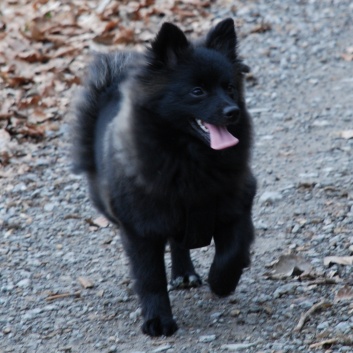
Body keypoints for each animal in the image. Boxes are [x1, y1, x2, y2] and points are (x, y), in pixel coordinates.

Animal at [73, 18, 256, 336]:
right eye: (197, 91)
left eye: (230, 87)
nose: (232, 111)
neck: (191, 160)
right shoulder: (141, 228)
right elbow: (150, 278)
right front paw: (158, 320)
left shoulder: (237, 203)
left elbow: (232, 251)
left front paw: (222, 281)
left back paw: (185, 273)